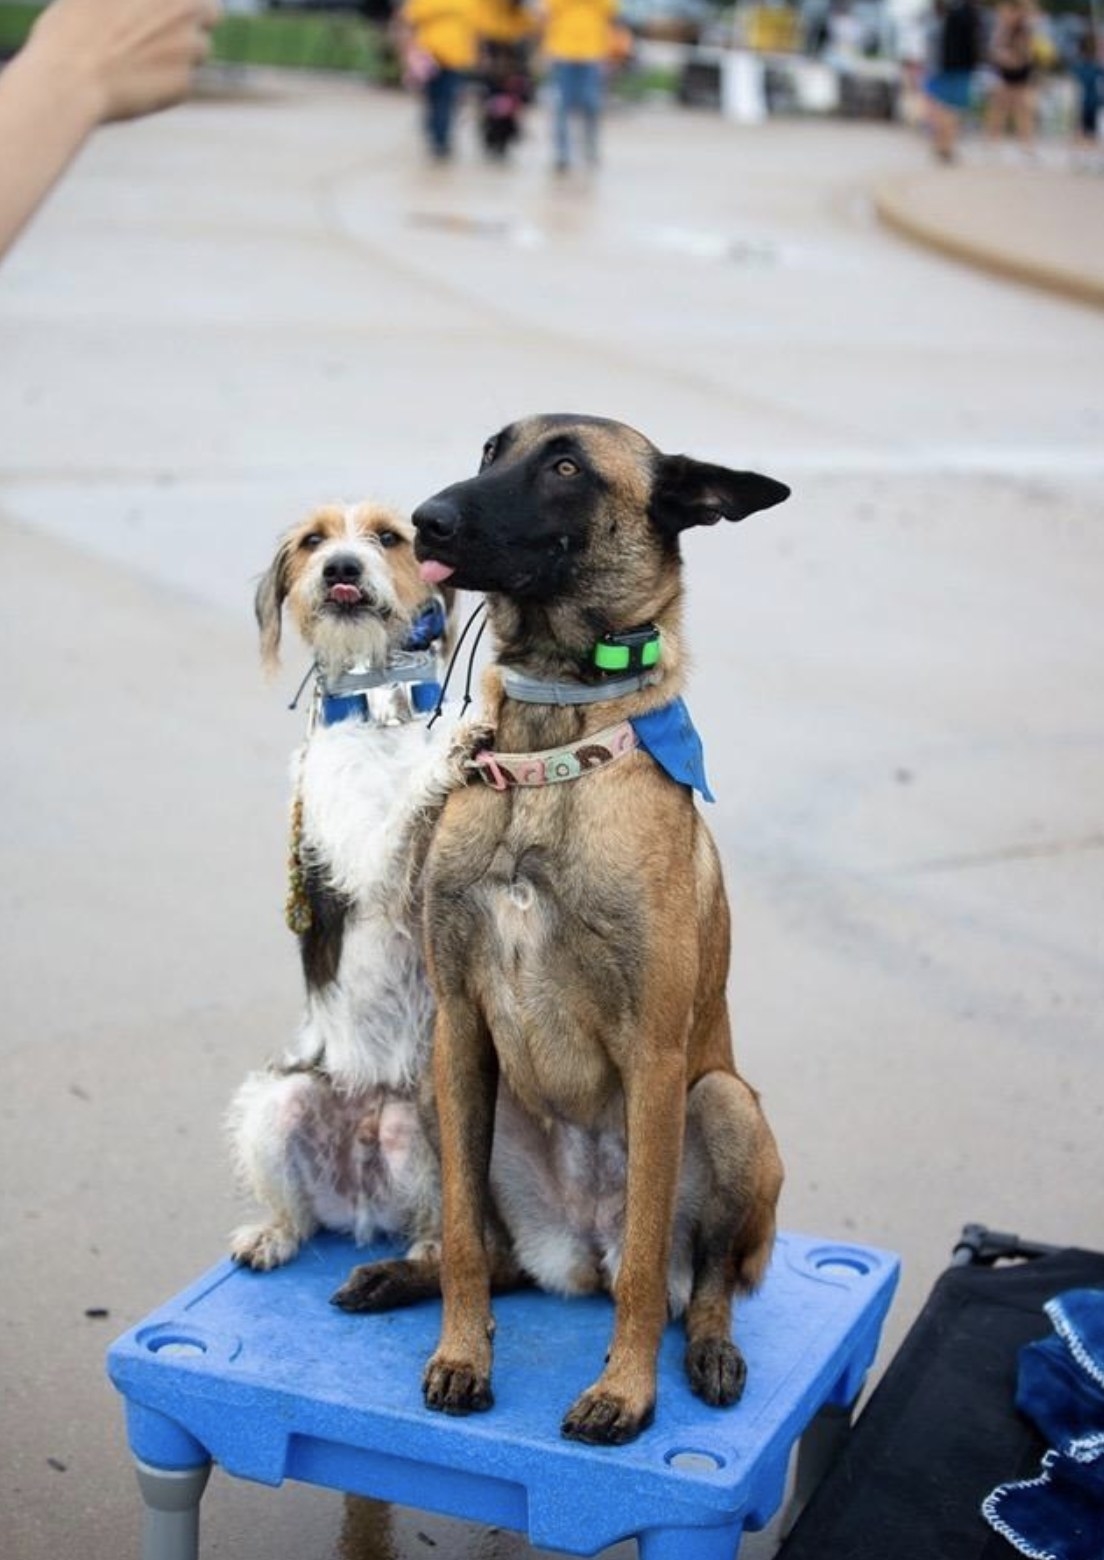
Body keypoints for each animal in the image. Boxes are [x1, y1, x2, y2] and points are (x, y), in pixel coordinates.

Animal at [229, 505, 458, 1272]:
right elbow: (407, 812)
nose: (342, 569)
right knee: (296, 1212)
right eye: (312, 542)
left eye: (389, 537)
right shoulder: (366, 852)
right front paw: (465, 742)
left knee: (436, 1210)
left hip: (421, 1126)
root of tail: (361, 1202)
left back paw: (429, 1244)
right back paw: (273, 1233)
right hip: (278, 1106)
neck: (382, 706)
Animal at [405, 418, 785, 1447]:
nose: (423, 518)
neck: (550, 745)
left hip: (725, 1104)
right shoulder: (458, 1024)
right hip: (434, 1090)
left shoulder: (654, 1056)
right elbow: (462, 1235)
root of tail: (579, 1251)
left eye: (567, 466)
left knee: (706, 1283)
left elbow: (652, 1266)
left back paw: (709, 1353)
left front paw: (625, 1390)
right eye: (490, 450)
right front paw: (463, 1355)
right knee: (493, 1253)